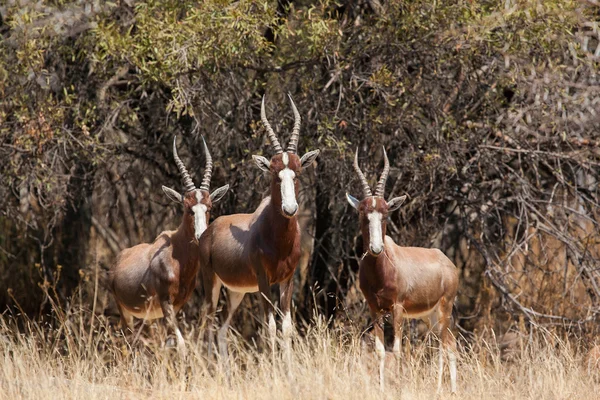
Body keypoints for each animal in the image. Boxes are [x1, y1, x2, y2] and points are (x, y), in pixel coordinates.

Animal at [109, 136, 229, 354]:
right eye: (188, 208)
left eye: (209, 207)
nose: (200, 235)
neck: (176, 254)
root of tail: (117, 260)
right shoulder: (166, 303)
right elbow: (180, 345)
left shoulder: (179, 304)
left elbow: (170, 343)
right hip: (125, 312)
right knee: (127, 343)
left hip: (148, 316)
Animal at [199, 95, 322, 360]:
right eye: (275, 174)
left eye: (297, 173)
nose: (290, 208)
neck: (279, 241)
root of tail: (208, 232)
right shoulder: (264, 281)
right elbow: (271, 325)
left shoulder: (288, 279)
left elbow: (286, 327)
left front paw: (288, 368)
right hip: (211, 283)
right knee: (208, 324)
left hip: (237, 291)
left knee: (221, 328)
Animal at [346, 148, 460, 394]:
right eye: (362, 213)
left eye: (385, 213)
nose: (376, 248)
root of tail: (448, 262)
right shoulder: (375, 309)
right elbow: (380, 351)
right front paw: (381, 388)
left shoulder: (397, 308)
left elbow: (397, 350)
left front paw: (398, 387)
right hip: (429, 316)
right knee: (448, 343)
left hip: (445, 309)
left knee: (445, 346)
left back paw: (444, 389)